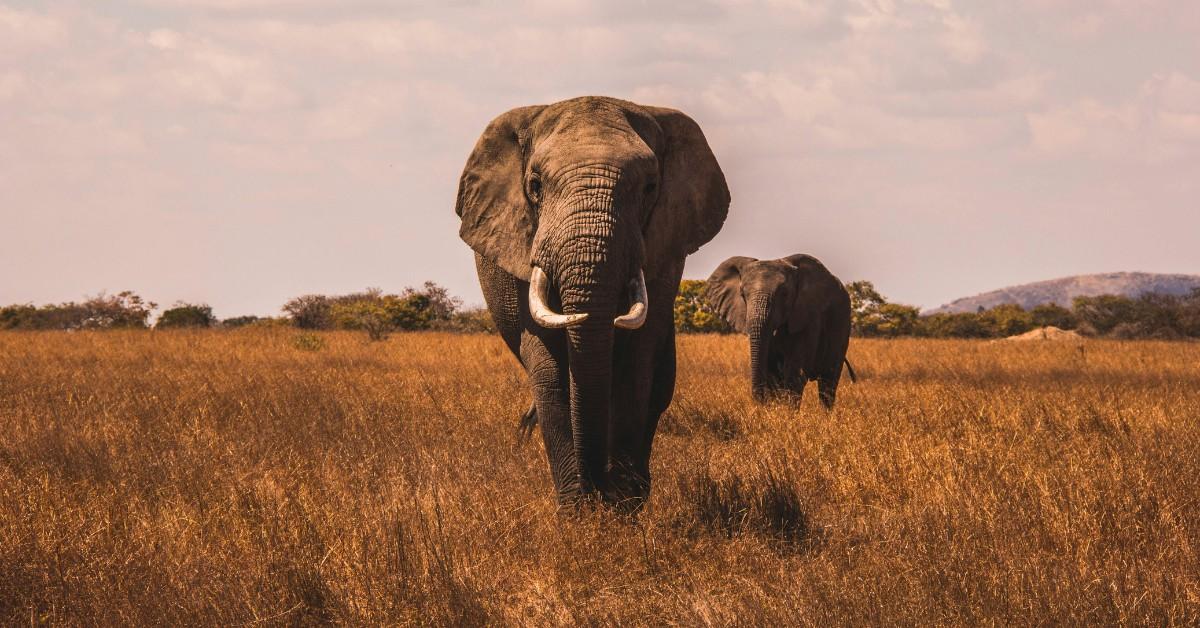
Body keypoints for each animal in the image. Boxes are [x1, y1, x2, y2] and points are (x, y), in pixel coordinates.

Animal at [451, 97, 724, 511]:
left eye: (650, 187)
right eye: (535, 186)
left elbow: (636, 366)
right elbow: (549, 370)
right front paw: (579, 513)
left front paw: (623, 509)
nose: (599, 492)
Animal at [700, 254, 854, 408]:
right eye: (742, 294)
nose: (758, 402)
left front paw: (787, 413)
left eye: (785, 294)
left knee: (828, 382)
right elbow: (773, 373)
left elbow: (794, 373)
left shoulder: (807, 317)